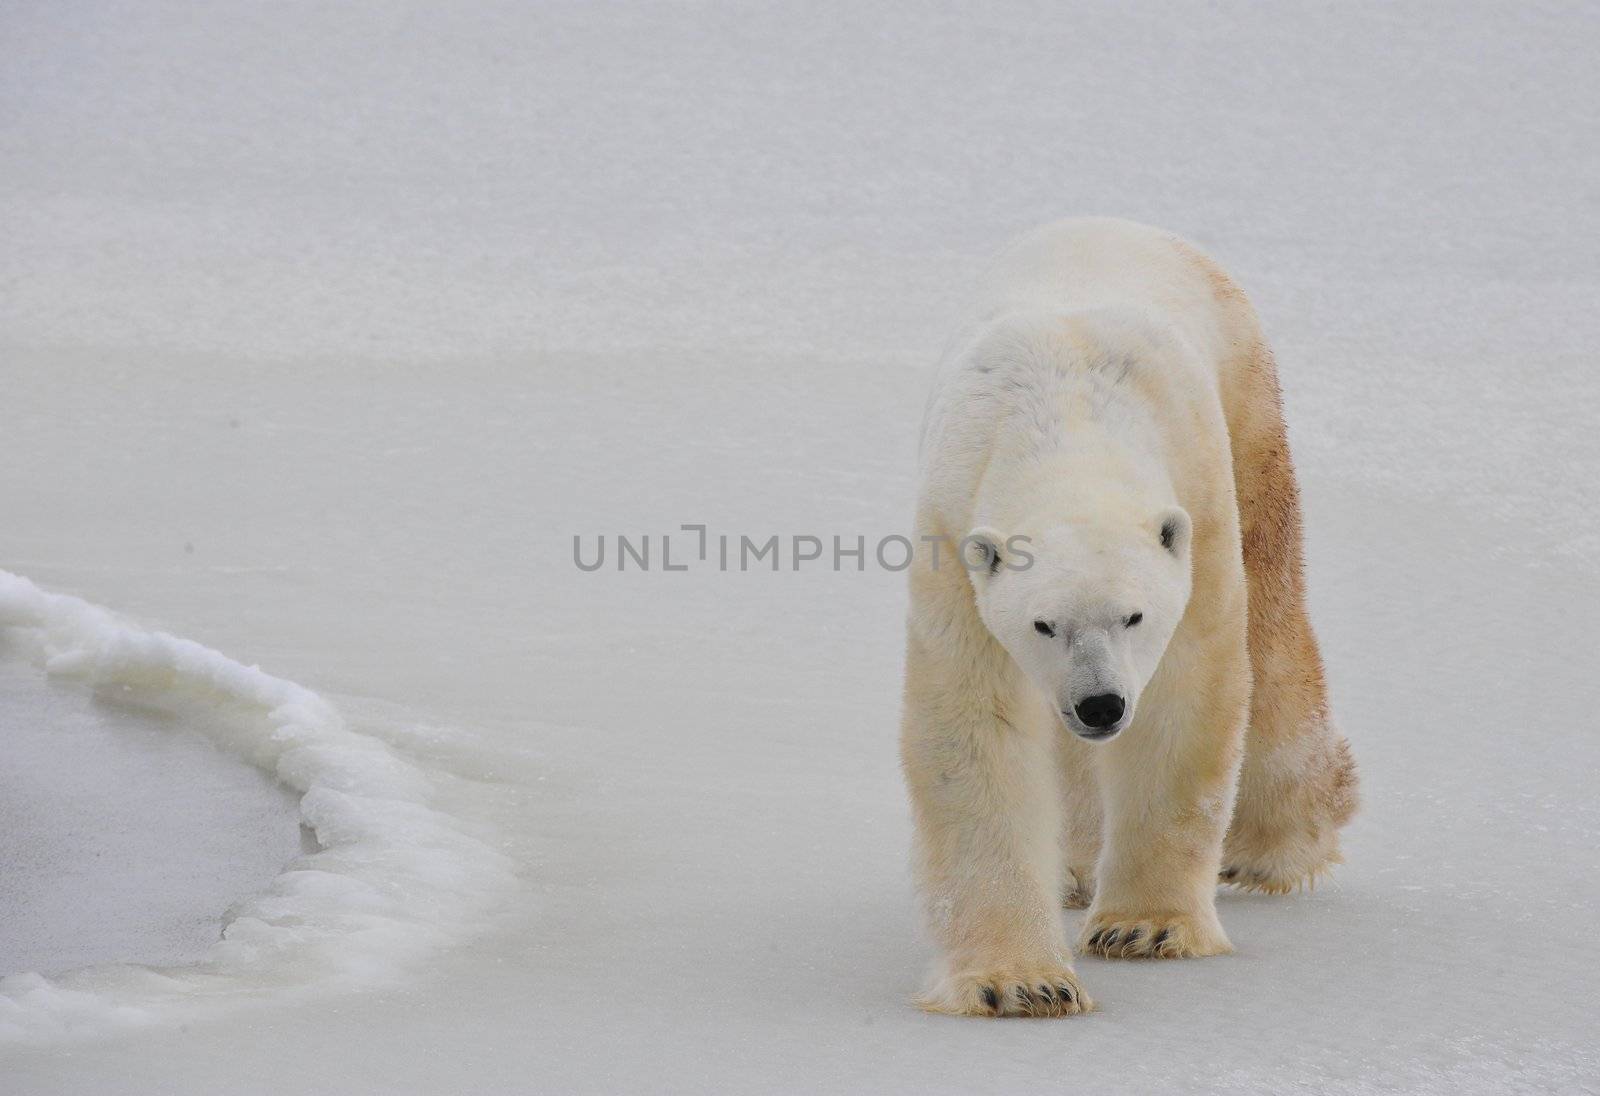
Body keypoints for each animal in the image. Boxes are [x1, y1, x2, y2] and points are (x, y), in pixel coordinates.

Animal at [908, 217, 1356, 1011]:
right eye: (1043, 624)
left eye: (1135, 617)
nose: (1100, 704)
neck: (1068, 418)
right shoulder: (953, 533)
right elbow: (974, 725)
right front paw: (1019, 982)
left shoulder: (1197, 501)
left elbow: (1186, 697)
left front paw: (1144, 927)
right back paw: (1076, 864)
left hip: (1248, 409)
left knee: (1273, 626)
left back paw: (1273, 845)